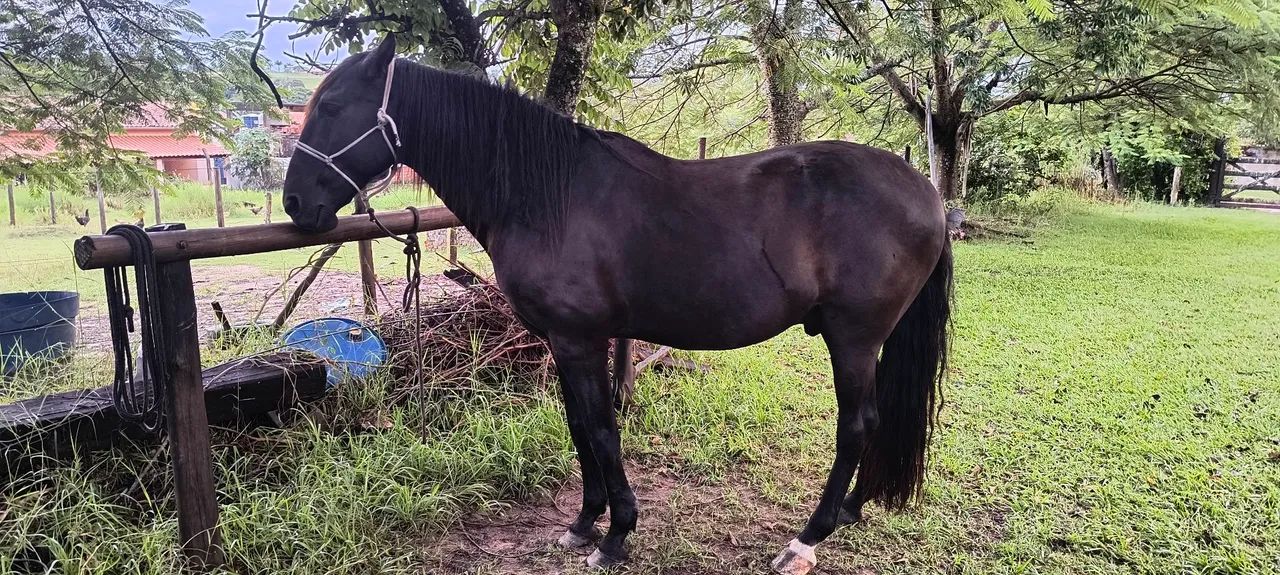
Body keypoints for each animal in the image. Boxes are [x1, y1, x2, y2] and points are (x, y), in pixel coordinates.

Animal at [283, 36, 952, 574]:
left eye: (332, 107)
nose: (294, 203)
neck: (548, 195)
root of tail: (926, 192)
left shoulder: (582, 340)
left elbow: (602, 430)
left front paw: (616, 535)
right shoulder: (561, 343)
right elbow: (580, 427)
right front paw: (584, 523)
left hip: (854, 338)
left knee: (857, 425)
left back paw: (807, 540)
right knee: (876, 422)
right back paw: (851, 510)